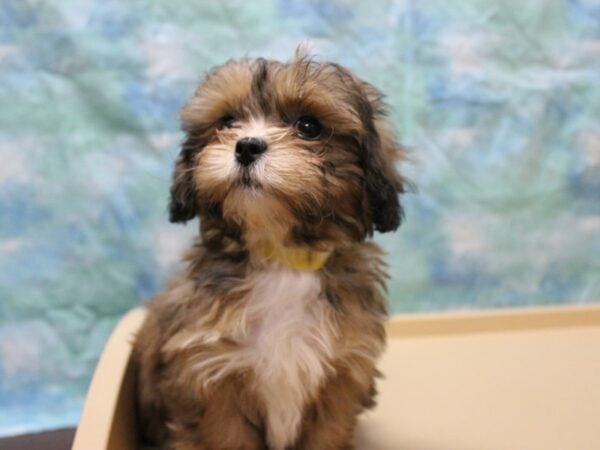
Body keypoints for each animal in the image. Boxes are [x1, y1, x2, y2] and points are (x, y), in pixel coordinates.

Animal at [135, 49, 408, 450]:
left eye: (309, 126)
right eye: (228, 121)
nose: (246, 146)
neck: (282, 258)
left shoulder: (341, 375)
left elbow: (327, 435)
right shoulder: (211, 375)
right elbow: (227, 437)